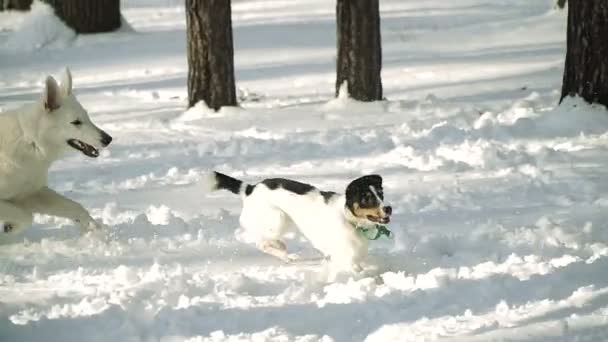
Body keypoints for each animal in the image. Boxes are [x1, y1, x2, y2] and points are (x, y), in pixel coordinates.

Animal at [0, 69, 111, 235]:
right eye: (76, 122)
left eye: (87, 117)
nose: (108, 139)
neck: (31, 141)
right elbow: (26, 216)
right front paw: (10, 227)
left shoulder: (30, 193)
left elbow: (76, 207)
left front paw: (94, 229)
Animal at [204, 171, 394, 272]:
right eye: (367, 198)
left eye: (381, 194)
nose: (388, 208)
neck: (349, 218)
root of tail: (250, 189)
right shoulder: (347, 260)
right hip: (277, 219)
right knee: (258, 241)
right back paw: (283, 253)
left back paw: (282, 249)